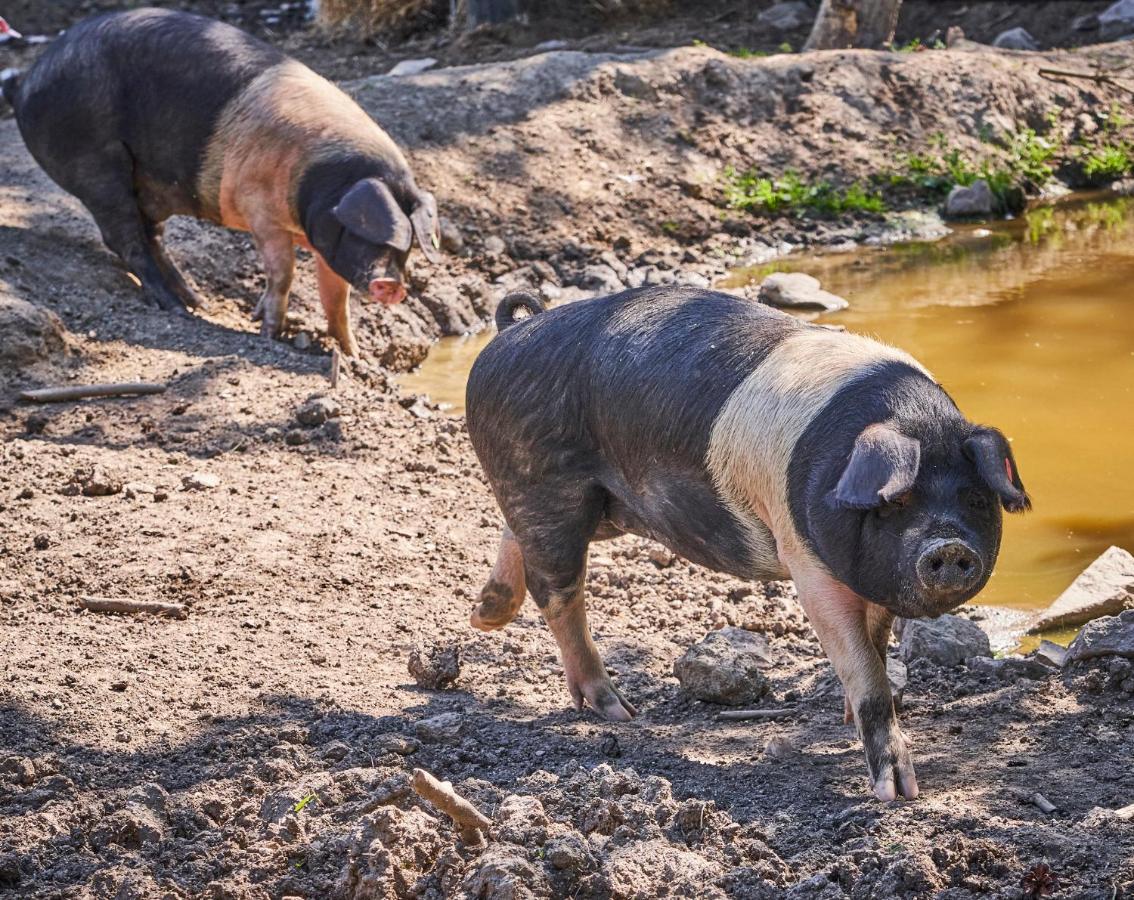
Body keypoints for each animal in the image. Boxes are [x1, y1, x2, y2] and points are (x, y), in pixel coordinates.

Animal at [0, 9, 439, 358]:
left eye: (407, 247)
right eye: (374, 234)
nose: (392, 284)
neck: (317, 183)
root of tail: (26, 82)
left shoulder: (326, 244)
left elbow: (337, 299)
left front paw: (353, 355)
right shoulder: (262, 212)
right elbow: (283, 273)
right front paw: (269, 334)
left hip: (147, 184)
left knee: (151, 237)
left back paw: (197, 301)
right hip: (96, 165)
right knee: (125, 238)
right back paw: (176, 309)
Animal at [464, 284, 1034, 797]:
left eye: (976, 498)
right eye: (895, 502)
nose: (948, 547)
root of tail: (509, 333)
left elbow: (873, 646)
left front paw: (849, 715)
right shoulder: (805, 560)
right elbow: (863, 668)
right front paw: (898, 792)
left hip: (606, 507)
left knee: (521, 543)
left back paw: (486, 615)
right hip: (542, 484)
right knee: (557, 589)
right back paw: (618, 711)